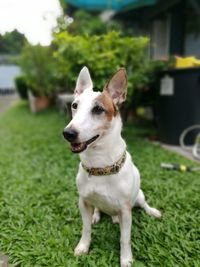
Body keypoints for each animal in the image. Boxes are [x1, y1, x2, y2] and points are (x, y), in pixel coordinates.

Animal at [62, 67, 161, 267]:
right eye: (74, 105)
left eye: (98, 109)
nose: (68, 133)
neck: (99, 165)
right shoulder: (83, 202)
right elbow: (86, 229)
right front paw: (83, 246)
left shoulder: (126, 210)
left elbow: (125, 238)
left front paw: (126, 258)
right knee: (99, 208)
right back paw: (97, 215)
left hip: (138, 196)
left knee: (143, 204)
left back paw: (151, 212)